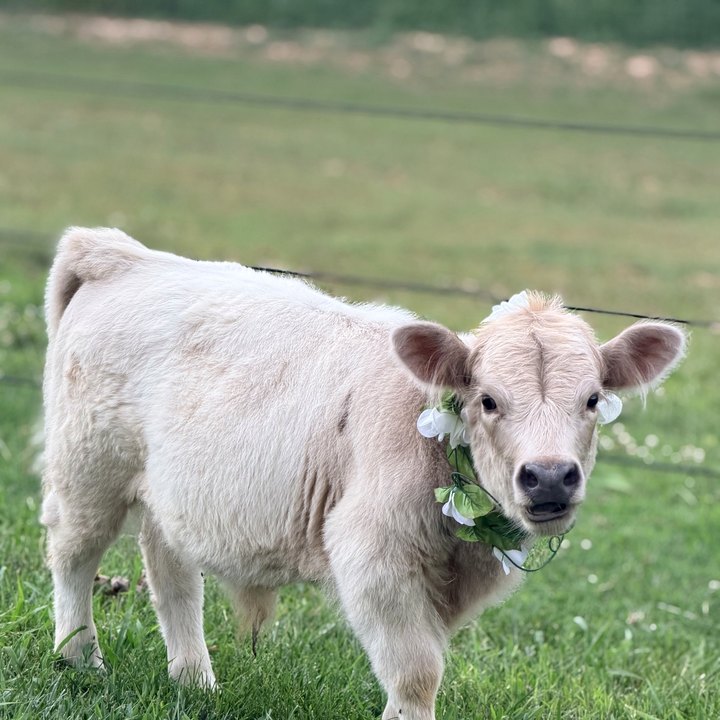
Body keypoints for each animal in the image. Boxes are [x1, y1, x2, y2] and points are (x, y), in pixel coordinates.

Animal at [41, 227, 686, 719]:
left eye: (594, 399)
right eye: (487, 400)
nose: (549, 477)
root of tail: (122, 254)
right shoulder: (374, 558)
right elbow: (417, 672)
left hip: (167, 494)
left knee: (172, 574)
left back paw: (194, 680)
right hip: (87, 470)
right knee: (73, 557)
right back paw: (80, 660)